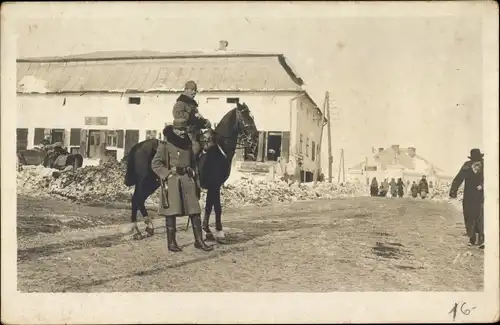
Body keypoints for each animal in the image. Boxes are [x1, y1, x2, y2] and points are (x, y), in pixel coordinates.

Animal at [124, 102, 258, 239]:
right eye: (246, 117)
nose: (255, 137)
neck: (218, 149)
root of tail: (138, 146)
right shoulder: (215, 185)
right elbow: (217, 208)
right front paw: (219, 232)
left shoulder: (213, 186)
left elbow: (209, 206)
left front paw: (207, 230)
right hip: (145, 182)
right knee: (136, 199)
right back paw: (136, 230)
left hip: (152, 183)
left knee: (139, 200)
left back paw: (149, 227)